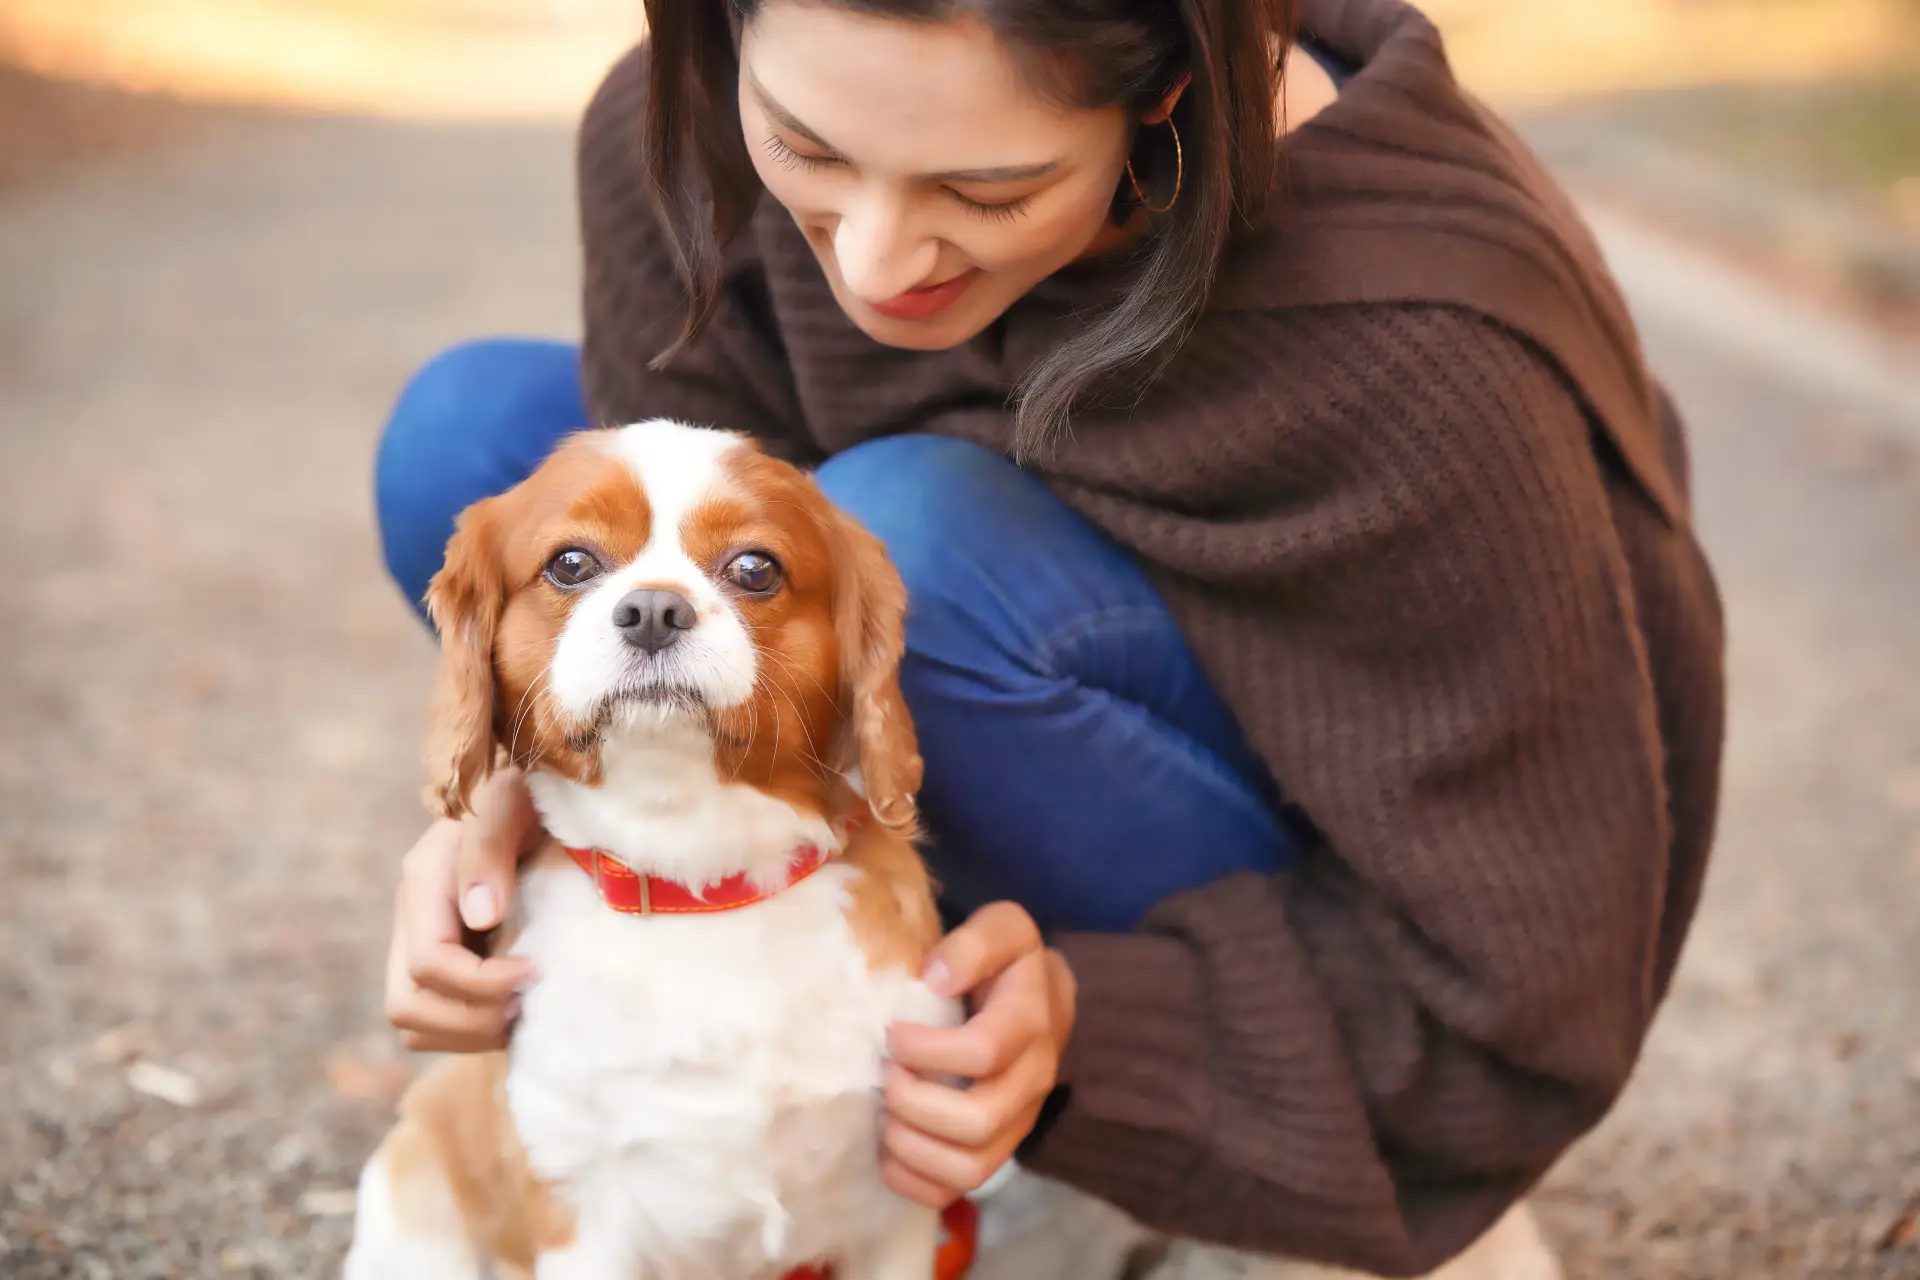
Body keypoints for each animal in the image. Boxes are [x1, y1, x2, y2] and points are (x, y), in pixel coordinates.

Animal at [341, 422, 960, 1280]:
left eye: (755, 569)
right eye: (571, 563)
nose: (655, 610)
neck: (697, 878)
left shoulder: (896, 1209)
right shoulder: (580, 1217)